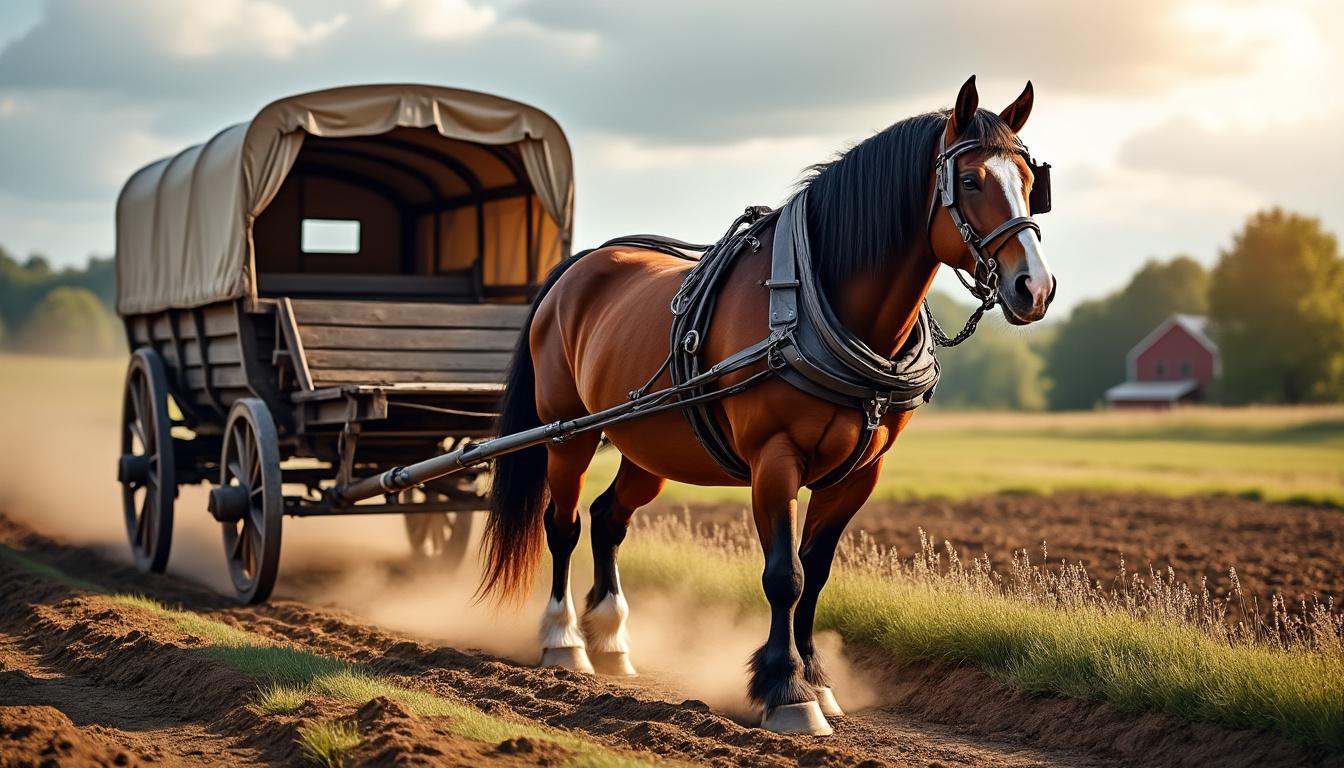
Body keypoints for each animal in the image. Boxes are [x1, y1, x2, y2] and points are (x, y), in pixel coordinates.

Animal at [477, 76, 1056, 736]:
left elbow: (817, 572)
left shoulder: (859, 474)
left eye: (1030, 182)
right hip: (566, 435)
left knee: (608, 518)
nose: (1035, 288)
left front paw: (818, 680)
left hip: (648, 445)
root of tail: (580, 264)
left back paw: (611, 638)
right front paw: (787, 690)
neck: (820, 303)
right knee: (565, 524)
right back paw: (564, 639)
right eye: (970, 180)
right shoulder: (774, 460)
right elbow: (785, 576)